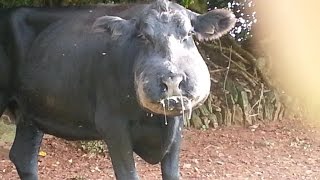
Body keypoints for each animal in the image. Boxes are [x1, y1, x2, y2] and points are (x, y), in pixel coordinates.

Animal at [0, 0, 235, 179]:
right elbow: (128, 174)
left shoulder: (177, 128)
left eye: (188, 34)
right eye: (143, 36)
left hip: (31, 111)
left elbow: (172, 174)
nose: (172, 80)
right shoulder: (112, 124)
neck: (154, 121)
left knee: (24, 157)